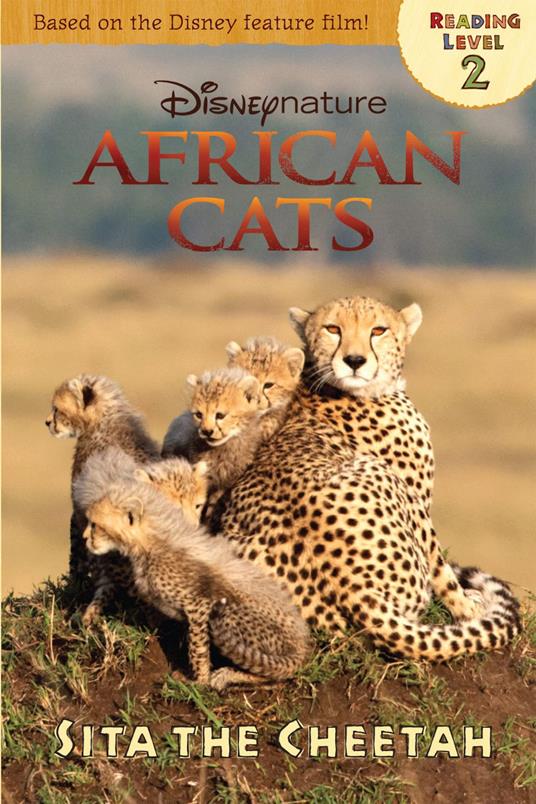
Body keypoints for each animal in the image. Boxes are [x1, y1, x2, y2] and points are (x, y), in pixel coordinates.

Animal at [46, 374, 160, 624]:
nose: (47, 422)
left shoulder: (80, 510)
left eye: (57, 409)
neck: (104, 419)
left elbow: (76, 556)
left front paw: (73, 589)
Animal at [74, 459, 310, 690]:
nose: (85, 538)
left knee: (277, 675)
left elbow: (197, 648)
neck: (151, 542)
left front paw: (198, 681)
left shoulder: (199, 606)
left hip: (229, 615)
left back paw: (226, 675)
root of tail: (302, 646)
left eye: (95, 525)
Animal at [210, 295, 520, 661]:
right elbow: (440, 567)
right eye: (333, 329)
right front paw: (469, 608)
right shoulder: (416, 501)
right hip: (382, 475)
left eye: (378, 330)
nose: (354, 361)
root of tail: (357, 594)